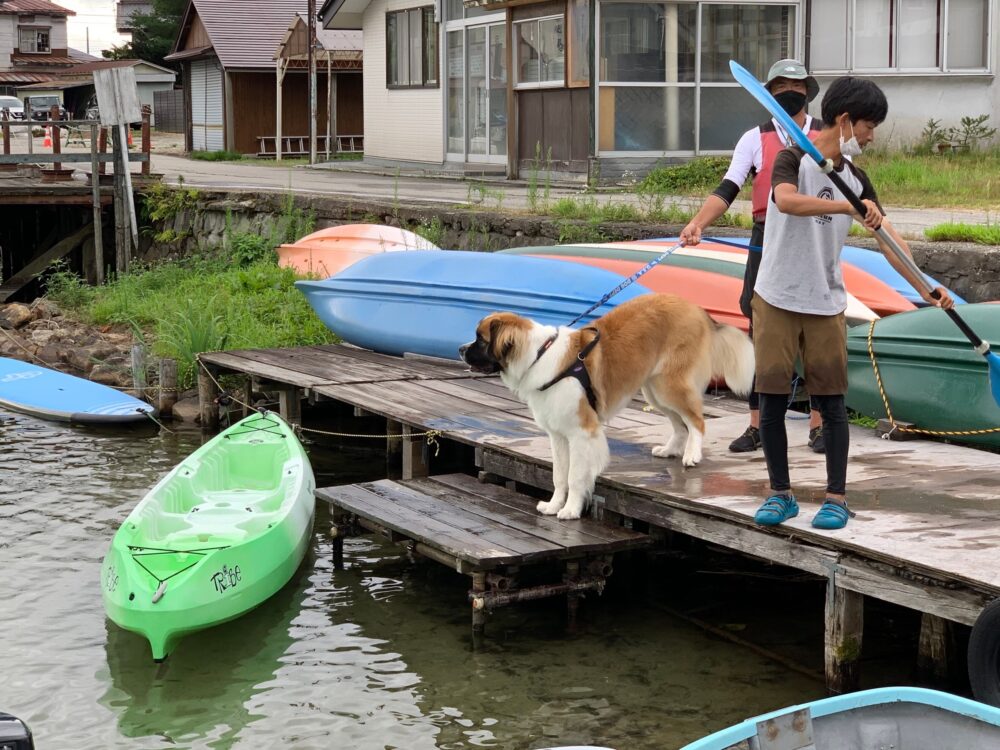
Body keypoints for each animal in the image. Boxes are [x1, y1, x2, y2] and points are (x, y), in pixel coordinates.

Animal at [458, 296, 752, 520]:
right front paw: (553, 505)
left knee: (696, 421)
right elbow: (559, 476)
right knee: (680, 424)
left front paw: (571, 511)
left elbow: (575, 476)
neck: (539, 355)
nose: (460, 349)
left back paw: (692, 455)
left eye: (480, 340)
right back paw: (670, 450)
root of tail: (696, 309)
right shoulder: (558, 436)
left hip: (669, 384)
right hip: (654, 389)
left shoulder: (581, 433)